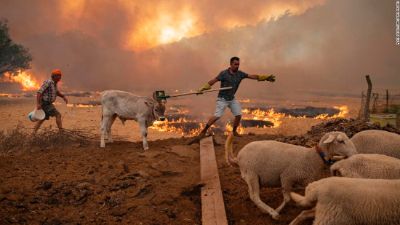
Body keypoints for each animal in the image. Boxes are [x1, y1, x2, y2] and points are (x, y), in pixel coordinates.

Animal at [223, 131, 358, 219]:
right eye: (341, 141)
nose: (355, 153)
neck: (313, 157)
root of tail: (238, 158)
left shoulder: (307, 179)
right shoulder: (286, 177)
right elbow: (287, 198)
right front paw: (277, 210)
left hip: (252, 176)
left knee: (252, 194)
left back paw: (264, 209)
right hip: (251, 173)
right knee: (255, 196)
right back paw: (272, 212)